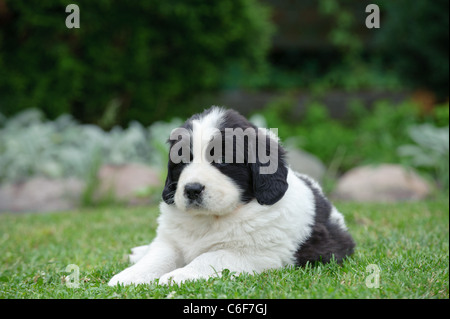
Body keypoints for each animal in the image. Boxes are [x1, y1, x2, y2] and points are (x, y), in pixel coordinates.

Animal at [109, 107, 356, 288]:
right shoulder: (171, 239)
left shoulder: (257, 255)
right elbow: (159, 255)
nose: (192, 189)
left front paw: (178, 276)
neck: (212, 219)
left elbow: (211, 257)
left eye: (222, 160)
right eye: (182, 161)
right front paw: (129, 277)